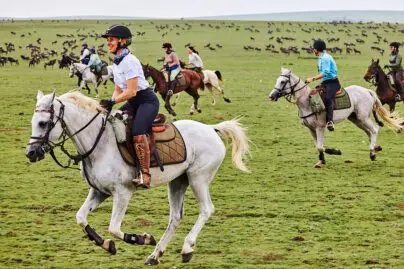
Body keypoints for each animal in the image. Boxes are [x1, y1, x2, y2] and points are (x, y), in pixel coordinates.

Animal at [25, 91, 249, 264]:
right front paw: (105, 244)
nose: (31, 153)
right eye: (33, 122)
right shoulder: (99, 192)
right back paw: (155, 255)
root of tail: (211, 129)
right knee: (175, 217)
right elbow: (80, 218)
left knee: (206, 209)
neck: (99, 143)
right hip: (178, 182)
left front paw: (143, 238)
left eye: (43, 123)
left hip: (198, 179)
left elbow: (114, 228)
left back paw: (186, 248)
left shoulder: (123, 193)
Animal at [266, 68, 402, 166]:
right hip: (356, 119)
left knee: (374, 129)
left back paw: (372, 153)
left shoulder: (320, 127)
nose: (271, 96)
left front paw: (336, 152)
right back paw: (375, 148)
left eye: (283, 81)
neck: (306, 101)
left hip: (363, 117)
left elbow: (320, 146)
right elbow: (318, 146)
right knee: (369, 132)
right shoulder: (310, 128)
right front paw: (321, 160)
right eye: (278, 80)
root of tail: (367, 91)